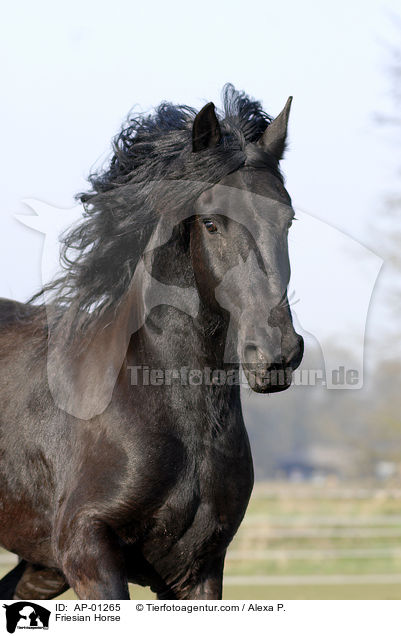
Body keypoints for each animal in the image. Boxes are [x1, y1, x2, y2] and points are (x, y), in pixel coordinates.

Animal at [0, 85, 302, 600]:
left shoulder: (199, 570)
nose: (276, 354)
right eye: (211, 223)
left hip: (38, 568)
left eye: (288, 220)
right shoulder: (86, 551)